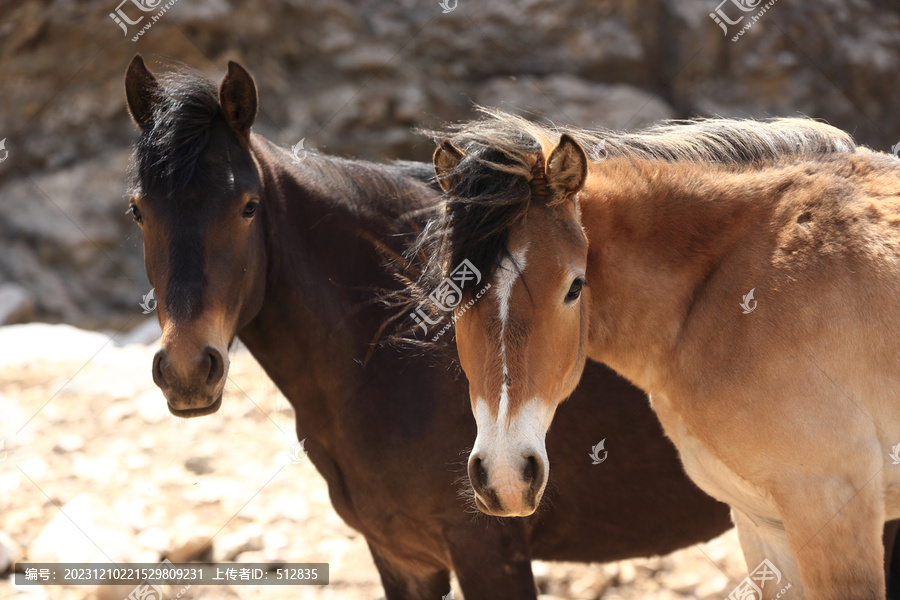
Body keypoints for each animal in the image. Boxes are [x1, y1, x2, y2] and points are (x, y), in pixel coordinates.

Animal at [125, 56, 732, 600]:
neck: (384, 359)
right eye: (138, 211)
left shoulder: (488, 551)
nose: (186, 370)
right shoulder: (402, 557)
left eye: (248, 207)